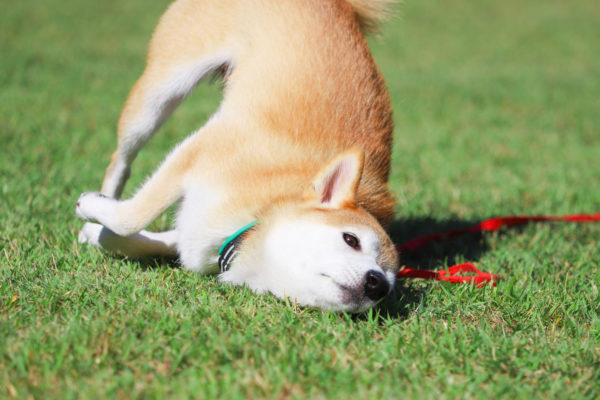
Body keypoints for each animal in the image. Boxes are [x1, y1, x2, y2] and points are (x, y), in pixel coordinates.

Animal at [77, 0, 400, 312]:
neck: (259, 216)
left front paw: (99, 234)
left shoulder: (200, 232)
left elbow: (143, 239)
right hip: (157, 96)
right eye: (351, 239)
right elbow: (133, 216)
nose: (377, 282)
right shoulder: (201, 149)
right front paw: (91, 208)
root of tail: (342, 5)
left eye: (389, 284)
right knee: (120, 161)